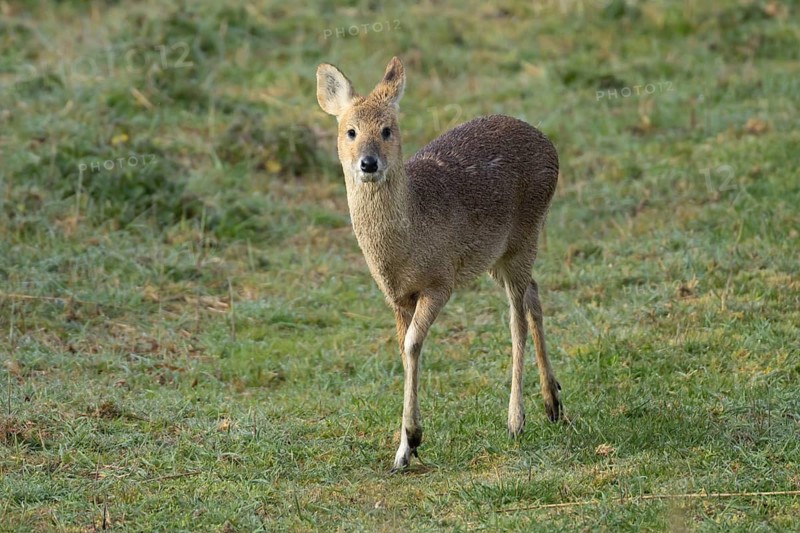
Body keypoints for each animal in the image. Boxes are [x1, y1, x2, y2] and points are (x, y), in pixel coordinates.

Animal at [316, 57, 562, 472]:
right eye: (350, 131)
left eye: (387, 129)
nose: (368, 163)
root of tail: (547, 143)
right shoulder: (398, 297)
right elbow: (403, 349)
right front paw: (404, 449)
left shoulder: (439, 281)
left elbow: (413, 344)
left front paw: (411, 440)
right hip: (500, 254)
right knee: (534, 294)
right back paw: (553, 402)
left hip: (525, 234)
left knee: (516, 317)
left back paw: (517, 420)